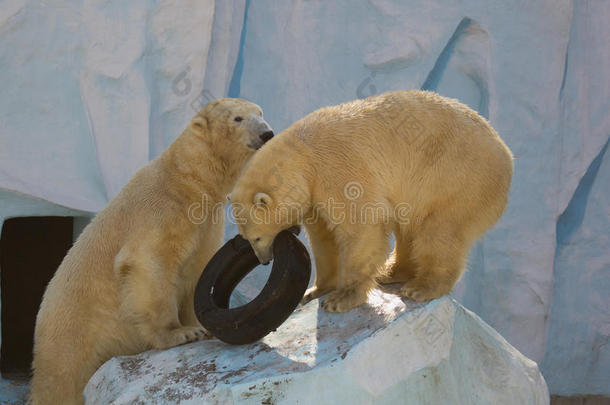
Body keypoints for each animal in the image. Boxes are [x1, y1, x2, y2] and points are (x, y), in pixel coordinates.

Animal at [30, 98, 274, 404]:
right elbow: (150, 264)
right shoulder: (159, 210)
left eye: (260, 113)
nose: (266, 133)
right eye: (238, 118)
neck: (186, 180)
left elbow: (199, 271)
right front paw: (181, 333)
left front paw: (203, 327)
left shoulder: (206, 223)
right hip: (70, 345)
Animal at [230, 90, 510, 312]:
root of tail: (507, 156)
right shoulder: (314, 192)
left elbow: (359, 227)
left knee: (438, 231)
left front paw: (341, 298)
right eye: (246, 238)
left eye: (256, 237)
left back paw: (422, 287)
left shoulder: (339, 171)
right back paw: (391, 272)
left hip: (455, 177)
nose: (265, 260)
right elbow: (324, 237)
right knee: (409, 227)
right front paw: (315, 291)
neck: (304, 156)